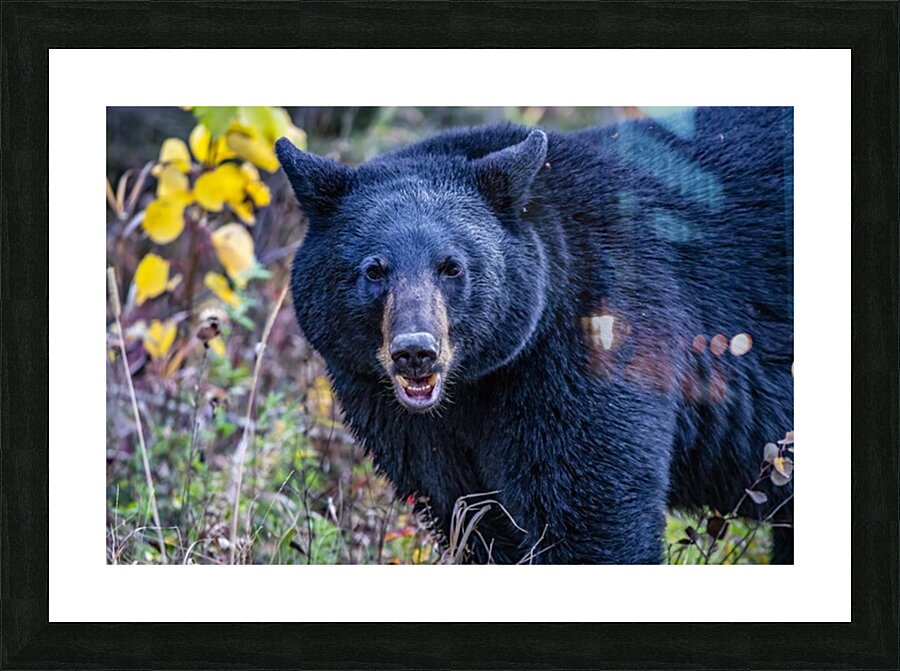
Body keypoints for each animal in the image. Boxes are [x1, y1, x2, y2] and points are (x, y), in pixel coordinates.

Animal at [275, 107, 794, 564]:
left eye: (452, 266)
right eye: (374, 270)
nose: (415, 352)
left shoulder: (597, 336)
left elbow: (590, 512)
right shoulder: (403, 418)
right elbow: (472, 516)